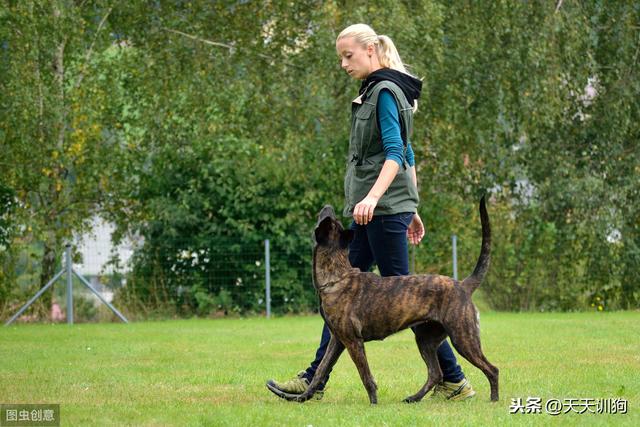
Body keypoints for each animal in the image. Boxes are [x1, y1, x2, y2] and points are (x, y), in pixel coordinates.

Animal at [292, 197, 498, 404]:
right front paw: (303, 396)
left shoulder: (353, 341)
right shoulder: (337, 340)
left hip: (463, 338)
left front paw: (373, 402)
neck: (337, 276)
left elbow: (365, 375)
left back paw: (494, 399)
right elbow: (321, 369)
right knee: (435, 373)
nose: (328, 207)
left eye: (329, 220)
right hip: (426, 339)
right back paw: (414, 398)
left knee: (492, 369)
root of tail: (463, 285)